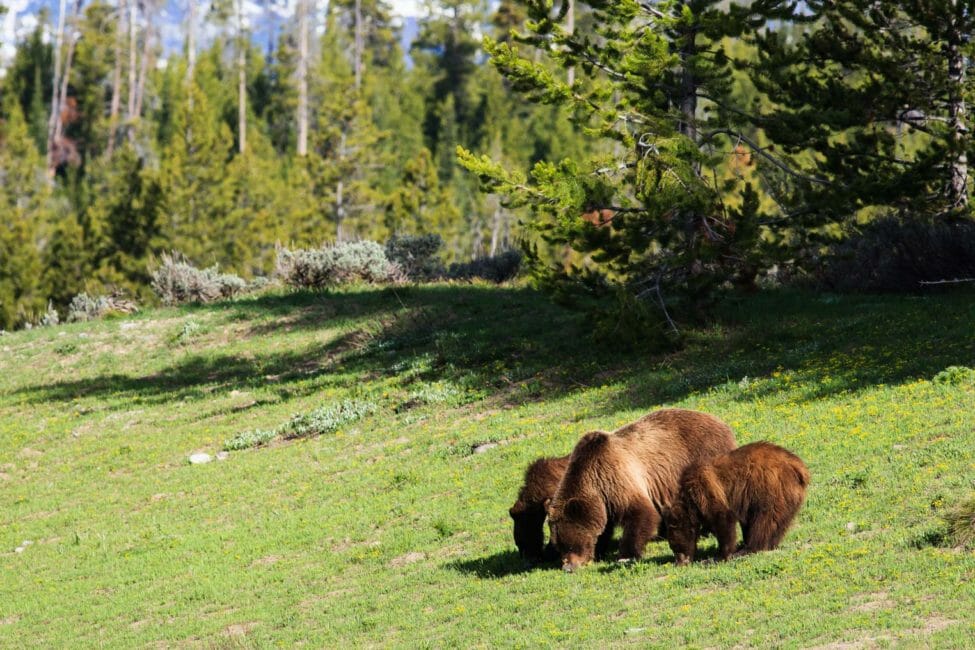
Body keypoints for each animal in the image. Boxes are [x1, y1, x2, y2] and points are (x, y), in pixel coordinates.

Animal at [544, 408, 736, 568]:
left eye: (570, 545)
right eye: (558, 545)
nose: (568, 567)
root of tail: (722, 423)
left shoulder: (616, 478)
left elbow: (641, 514)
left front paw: (626, 555)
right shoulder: (604, 500)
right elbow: (604, 526)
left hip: (704, 454)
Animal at [668, 440, 812, 560]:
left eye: (674, 546)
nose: (680, 562)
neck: (690, 502)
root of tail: (799, 466)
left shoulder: (703, 487)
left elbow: (722, 517)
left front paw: (721, 555)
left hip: (771, 489)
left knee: (764, 520)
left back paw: (749, 548)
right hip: (788, 497)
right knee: (777, 523)